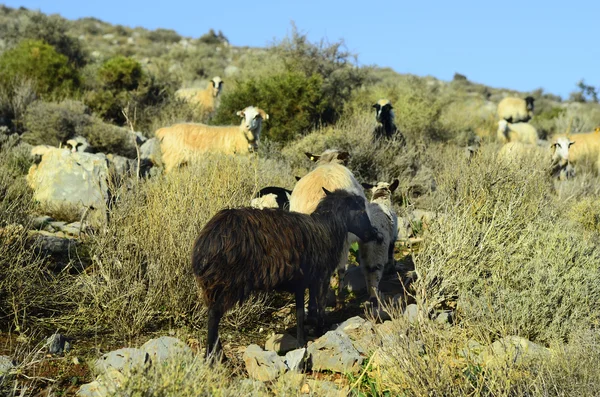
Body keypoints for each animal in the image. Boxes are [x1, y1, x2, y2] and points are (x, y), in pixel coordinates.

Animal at [192, 188, 382, 358]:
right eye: (361, 210)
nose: (373, 233)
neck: (327, 228)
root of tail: (209, 239)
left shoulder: (304, 280)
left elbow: (303, 310)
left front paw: (303, 338)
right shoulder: (322, 276)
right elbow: (318, 305)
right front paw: (320, 330)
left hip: (215, 283)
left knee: (212, 313)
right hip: (229, 282)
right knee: (214, 315)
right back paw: (214, 357)